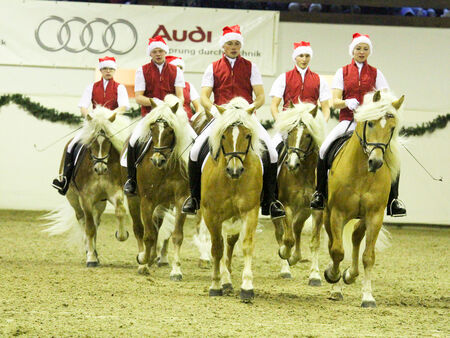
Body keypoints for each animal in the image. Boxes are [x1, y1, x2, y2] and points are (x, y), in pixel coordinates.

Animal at [43, 107, 130, 266]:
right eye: (92, 141)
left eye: (108, 141)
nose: (100, 169)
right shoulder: (86, 198)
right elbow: (89, 228)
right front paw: (90, 257)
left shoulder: (114, 191)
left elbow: (120, 211)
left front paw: (121, 235)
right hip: (73, 198)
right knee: (82, 220)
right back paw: (89, 250)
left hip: (100, 203)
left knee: (96, 222)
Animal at [125, 95, 193, 280]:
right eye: (153, 129)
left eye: (171, 130)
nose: (157, 160)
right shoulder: (146, 201)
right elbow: (148, 235)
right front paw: (142, 262)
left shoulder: (180, 200)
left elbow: (177, 235)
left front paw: (176, 270)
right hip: (133, 199)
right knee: (139, 229)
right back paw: (144, 258)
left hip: (164, 203)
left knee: (156, 228)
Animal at [201, 97, 262, 302]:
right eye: (224, 136)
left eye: (247, 135)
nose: (235, 170)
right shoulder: (211, 215)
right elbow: (216, 249)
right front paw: (215, 284)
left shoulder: (250, 212)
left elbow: (247, 246)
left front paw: (247, 287)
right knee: (220, 245)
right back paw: (224, 280)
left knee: (230, 243)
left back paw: (228, 280)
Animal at [272, 103, 326, 286]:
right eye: (290, 133)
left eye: (308, 135)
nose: (291, 164)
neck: (303, 173)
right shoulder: (286, 206)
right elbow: (287, 239)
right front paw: (284, 254)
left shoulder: (317, 209)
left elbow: (315, 242)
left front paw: (315, 275)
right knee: (281, 233)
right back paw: (285, 268)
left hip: (304, 210)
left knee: (296, 227)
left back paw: (295, 257)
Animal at [324, 91, 404, 308]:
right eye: (370, 124)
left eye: (392, 128)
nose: (375, 162)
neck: (362, 172)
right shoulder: (337, 214)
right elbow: (337, 250)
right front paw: (332, 276)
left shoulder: (375, 216)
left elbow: (368, 256)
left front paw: (368, 296)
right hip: (327, 214)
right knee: (333, 243)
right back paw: (335, 284)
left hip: (362, 217)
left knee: (356, 236)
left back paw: (350, 274)